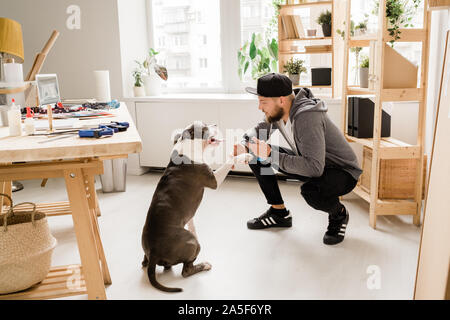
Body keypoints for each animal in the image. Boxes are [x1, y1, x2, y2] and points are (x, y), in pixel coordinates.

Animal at [142, 121, 251, 292]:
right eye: (205, 126)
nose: (215, 123)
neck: (190, 146)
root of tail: (153, 252)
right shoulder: (213, 180)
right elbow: (227, 163)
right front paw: (243, 156)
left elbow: (191, 221)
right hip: (192, 243)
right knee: (186, 270)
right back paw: (203, 265)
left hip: (147, 249)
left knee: (147, 262)